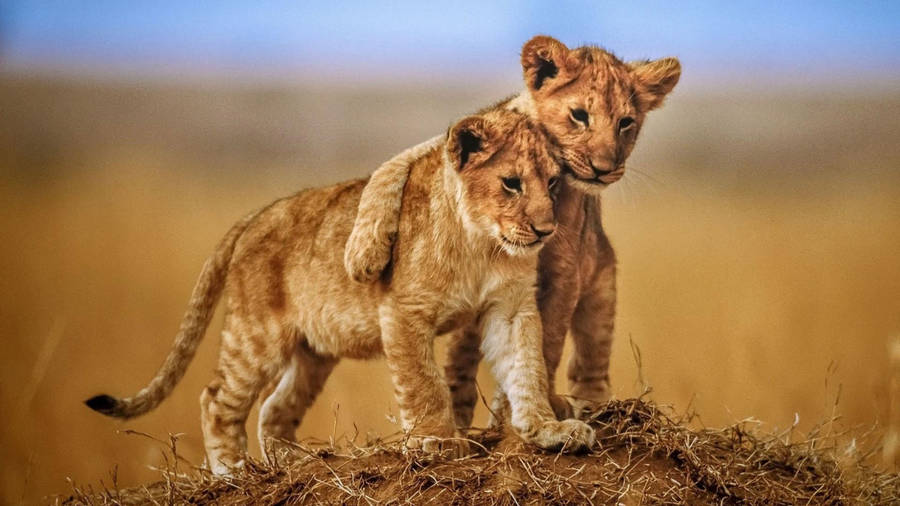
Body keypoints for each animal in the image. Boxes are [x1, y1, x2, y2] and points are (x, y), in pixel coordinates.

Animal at [84, 108, 595, 475]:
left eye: (552, 182)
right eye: (511, 183)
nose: (546, 230)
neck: (481, 244)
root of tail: (255, 215)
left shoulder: (510, 308)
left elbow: (527, 367)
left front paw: (549, 429)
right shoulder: (403, 311)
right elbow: (424, 383)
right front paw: (437, 441)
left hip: (313, 352)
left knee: (274, 408)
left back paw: (296, 462)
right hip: (256, 336)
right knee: (217, 400)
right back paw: (232, 472)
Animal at [343, 36, 681, 426]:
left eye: (626, 123)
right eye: (579, 115)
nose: (604, 168)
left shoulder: (565, 272)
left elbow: (545, 343)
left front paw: (527, 410)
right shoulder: (450, 145)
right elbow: (390, 169)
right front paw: (363, 254)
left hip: (601, 285)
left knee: (590, 360)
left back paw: (590, 406)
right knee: (461, 356)